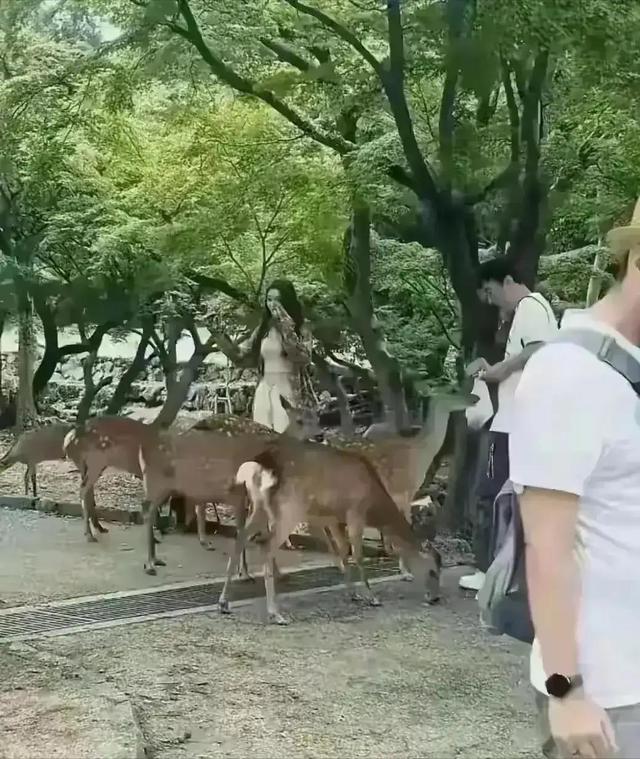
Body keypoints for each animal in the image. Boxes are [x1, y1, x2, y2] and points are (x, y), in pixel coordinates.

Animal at [217, 437, 443, 625]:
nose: (435, 598)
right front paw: (373, 597)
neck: (374, 504)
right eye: (432, 570)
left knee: (240, 538)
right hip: (289, 508)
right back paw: (276, 614)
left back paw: (224, 603)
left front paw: (353, 594)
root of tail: (258, 466)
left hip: (259, 507)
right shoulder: (355, 512)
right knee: (266, 545)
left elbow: (343, 552)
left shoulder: (335, 519)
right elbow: (357, 555)